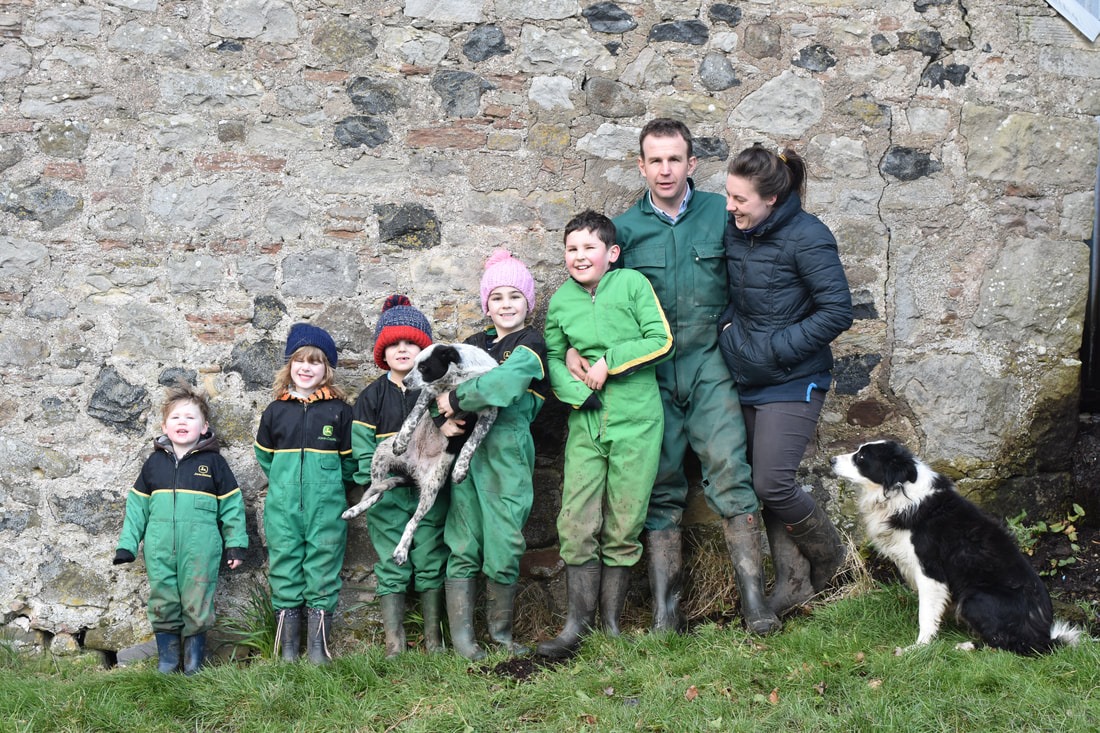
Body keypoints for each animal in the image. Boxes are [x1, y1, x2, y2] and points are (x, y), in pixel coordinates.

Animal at [831, 435, 1073, 651]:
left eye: (861, 457)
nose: (831, 460)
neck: (900, 491)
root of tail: (1041, 634)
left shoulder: (930, 570)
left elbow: (926, 613)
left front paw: (919, 647)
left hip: (975, 597)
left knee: (1005, 644)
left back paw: (965, 646)